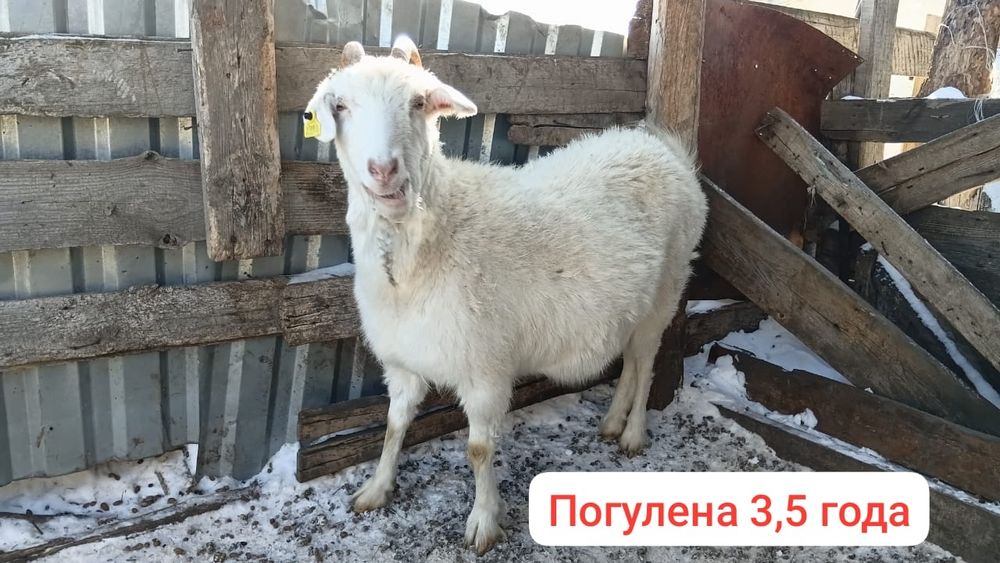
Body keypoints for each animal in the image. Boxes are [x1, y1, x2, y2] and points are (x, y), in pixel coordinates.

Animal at [304, 36, 708, 554]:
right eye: (340, 106)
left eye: (418, 103)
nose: (384, 170)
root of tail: (660, 146)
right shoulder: (403, 363)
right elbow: (393, 427)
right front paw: (376, 488)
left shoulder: (486, 370)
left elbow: (478, 449)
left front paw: (483, 522)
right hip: (629, 305)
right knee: (630, 363)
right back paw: (611, 422)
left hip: (668, 288)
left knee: (646, 362)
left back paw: (633, 432)